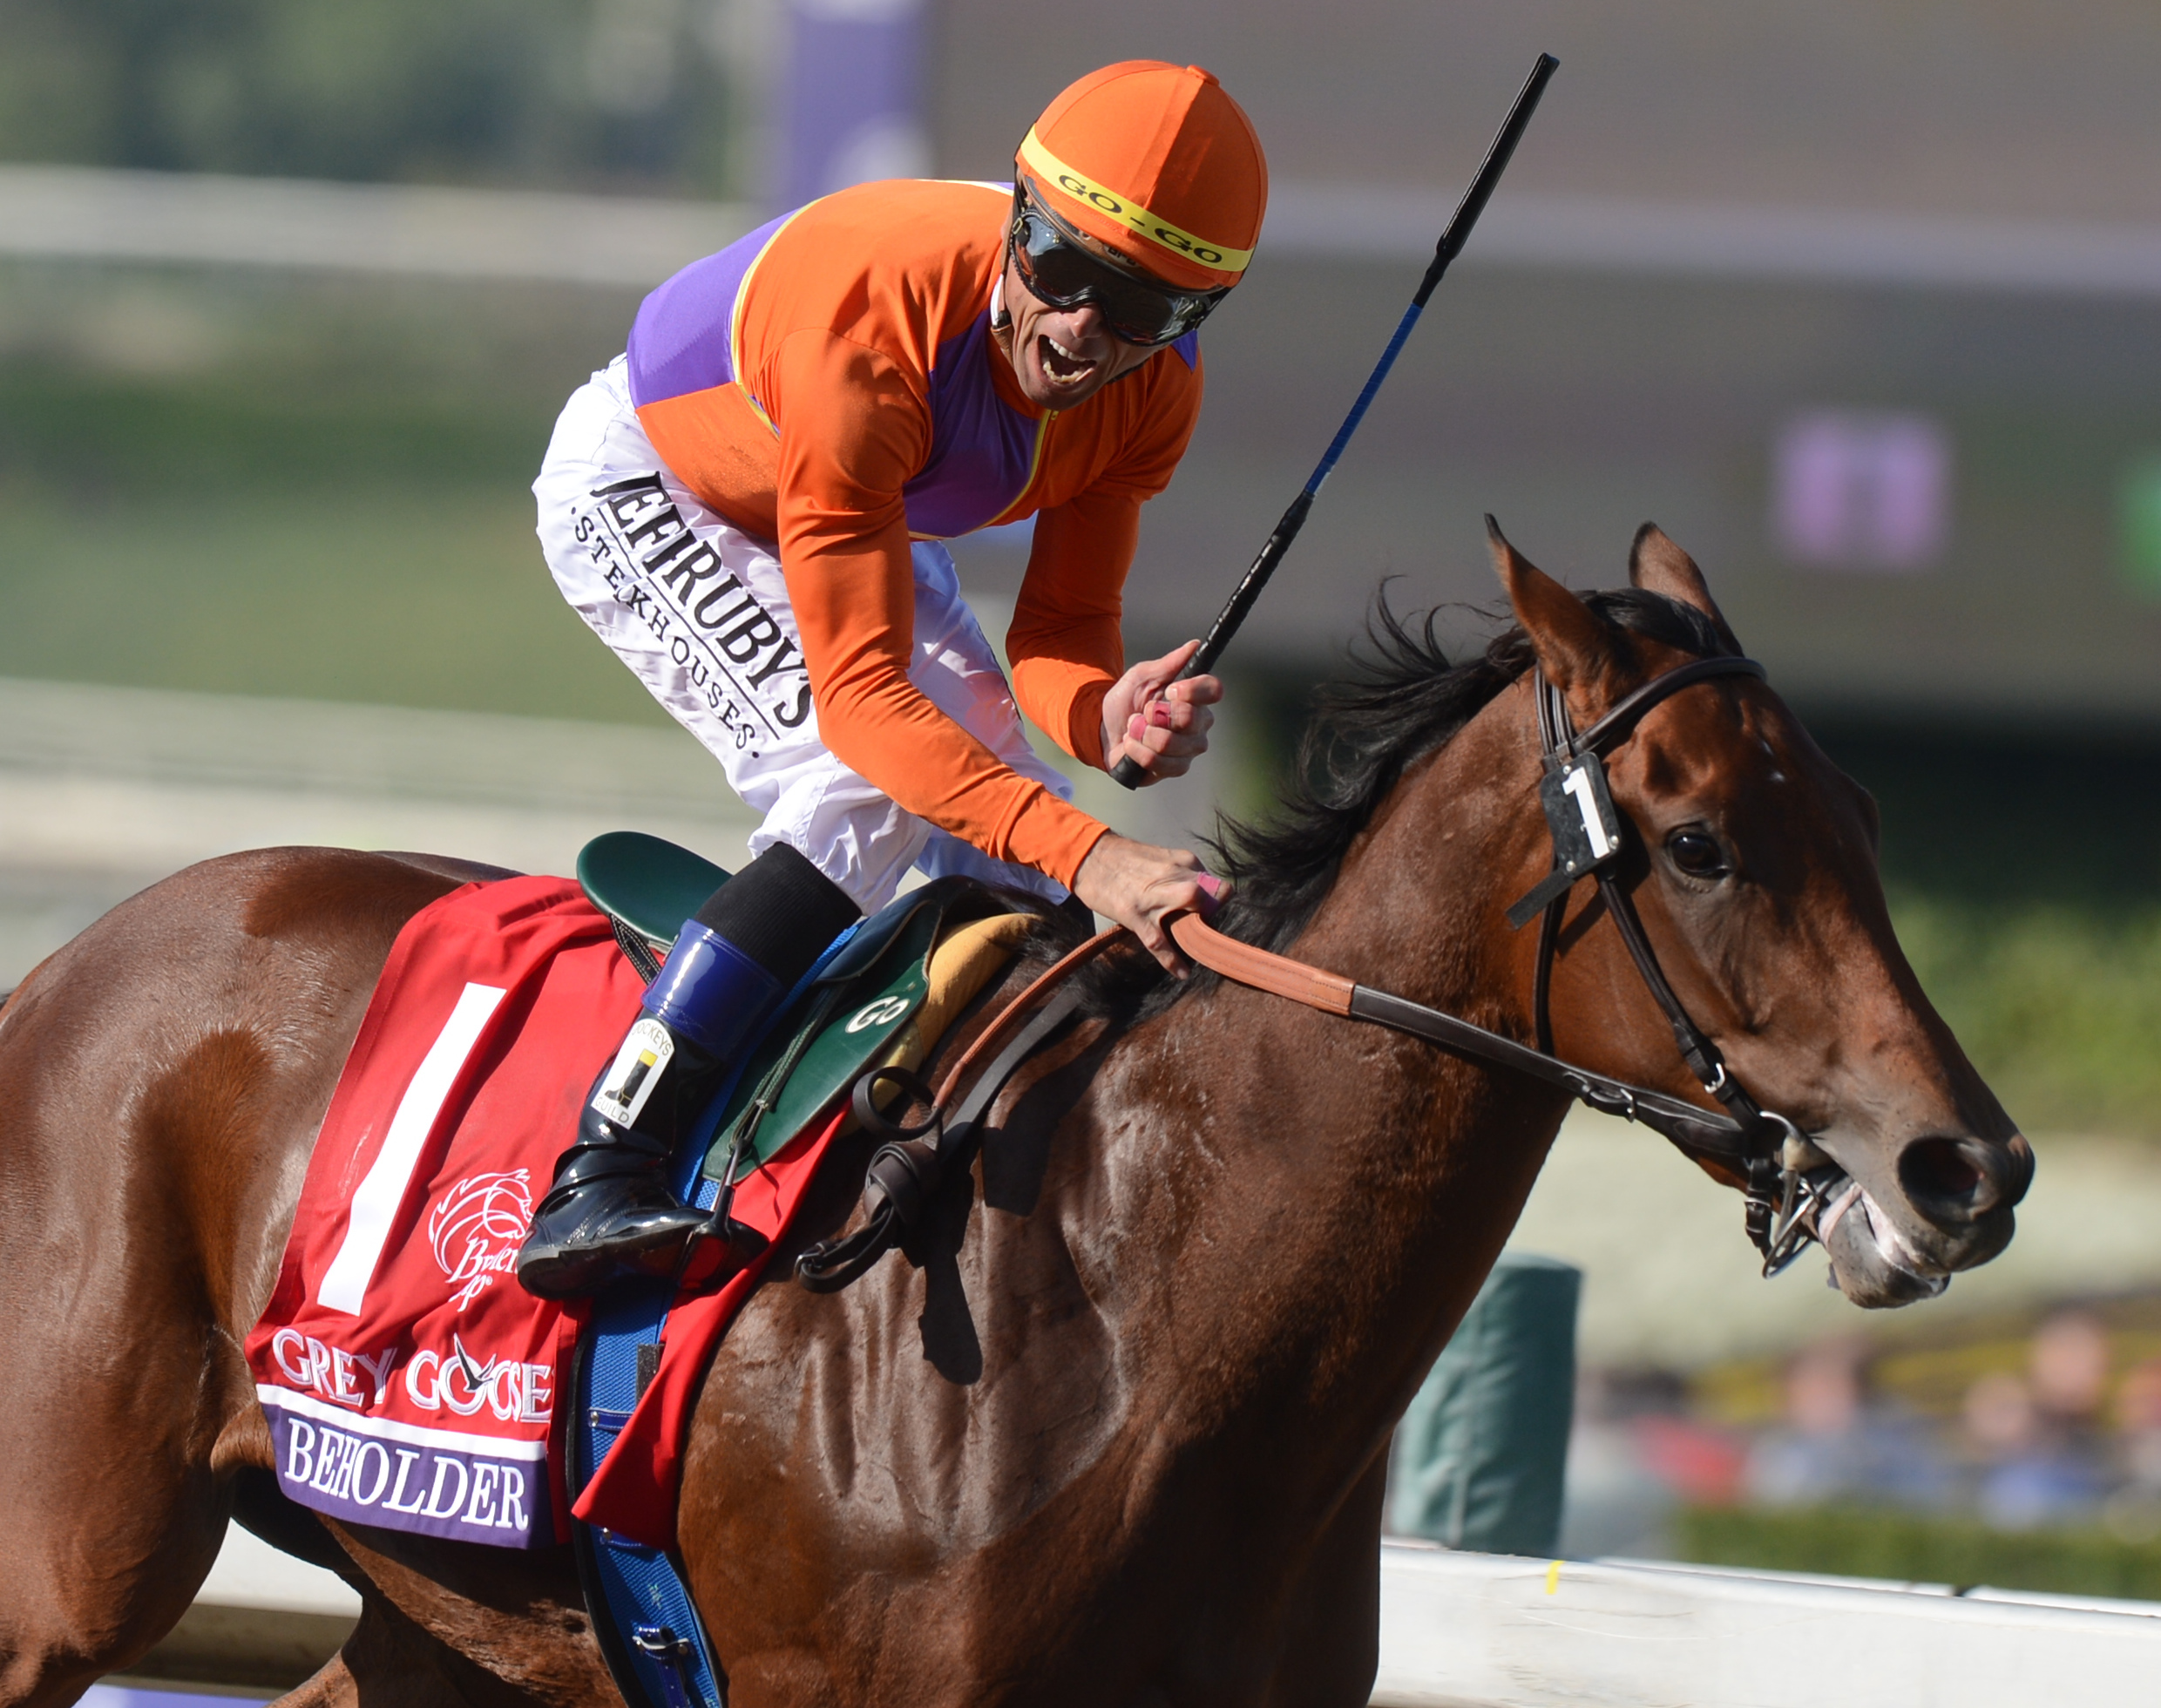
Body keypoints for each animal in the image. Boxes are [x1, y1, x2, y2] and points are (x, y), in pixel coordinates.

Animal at [0, 527, 2022, 1704]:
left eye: (1853, 807)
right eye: (1697, 841)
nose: (1966, 1164)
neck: (1148, 1300)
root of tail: (59, 971)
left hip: (457, 1636)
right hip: (66, 1582)